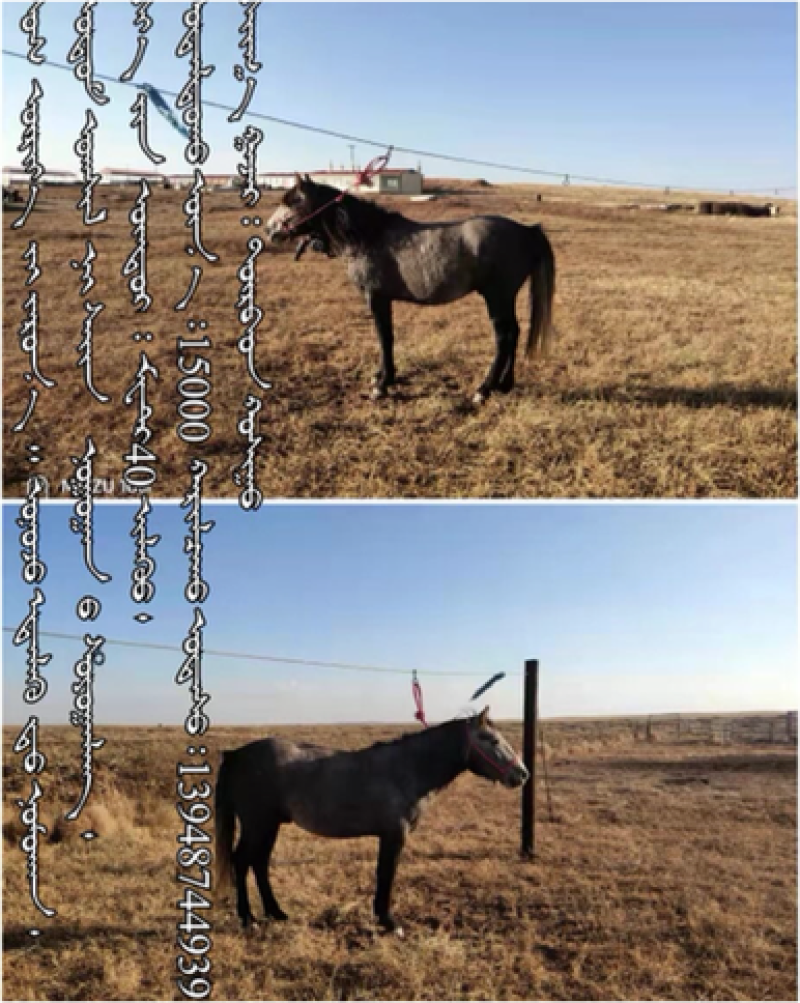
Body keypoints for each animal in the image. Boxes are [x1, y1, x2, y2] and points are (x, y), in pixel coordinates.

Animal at [215, 708, 529, 936]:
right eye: (492, 739)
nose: (522, 774)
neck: (407, 768)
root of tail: (236, 755)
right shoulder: (394, 835)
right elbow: (386, 875)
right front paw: (389, 922)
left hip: (269, 826)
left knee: (259, 863)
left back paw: (276, 913)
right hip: (258, 824)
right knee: (242, 861)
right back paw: (249, 919)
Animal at [265, 176, 556, 405]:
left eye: (294, 200)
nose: (269, 230)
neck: (368, 236)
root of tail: (527, 231)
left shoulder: (377, 298)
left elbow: (384, 338)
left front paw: (382, 385)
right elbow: (386, 338)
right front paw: (382, 376)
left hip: (497, 297)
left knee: (504, 337)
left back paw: (484, 390)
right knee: (514, 333)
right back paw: (504, 385)